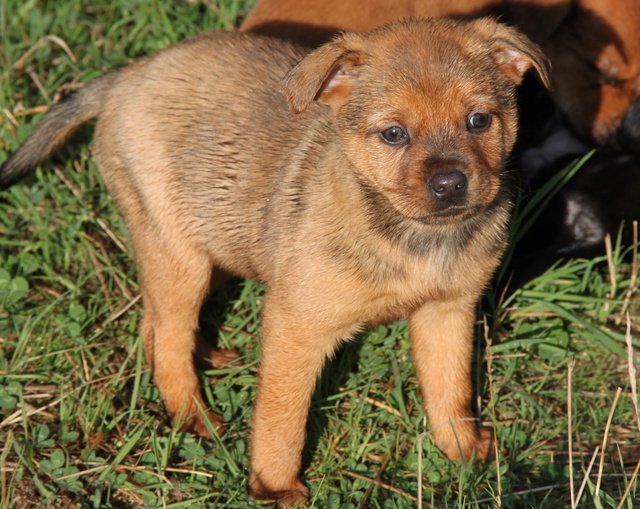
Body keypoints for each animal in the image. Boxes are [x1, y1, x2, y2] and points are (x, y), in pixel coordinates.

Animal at [0, 18, 552, 504]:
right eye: (393, 134)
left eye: (479, 120)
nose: (450, 184)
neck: (411, 238)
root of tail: (127, 75)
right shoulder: (297, 325)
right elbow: (281, 416)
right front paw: (275, 486)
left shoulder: (448, 311)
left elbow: (450, 389)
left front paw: (464, 451)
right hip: (178, 254)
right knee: (169, 336)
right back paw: (193, 415)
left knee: (155, 325)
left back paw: (211, 357)